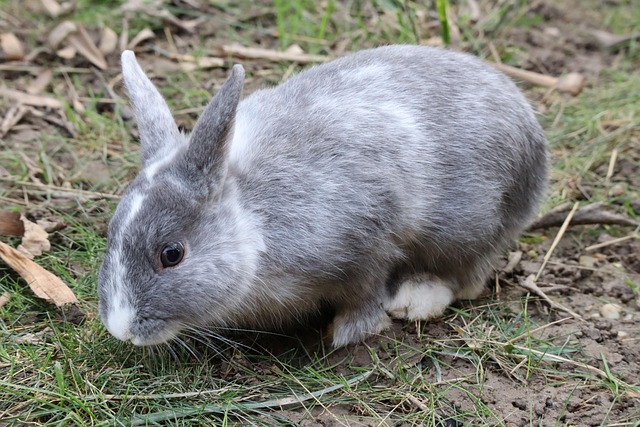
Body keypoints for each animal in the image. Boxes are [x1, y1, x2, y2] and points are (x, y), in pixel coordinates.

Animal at [98, 45, 548, 348]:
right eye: (110, 233)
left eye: (172, 254)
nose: (120, 329)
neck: (254, 215)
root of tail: (530, 132)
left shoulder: (367, 240)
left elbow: (366, 293)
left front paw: (346, 332)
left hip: (469, 224)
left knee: (466, 273)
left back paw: (415, 300)